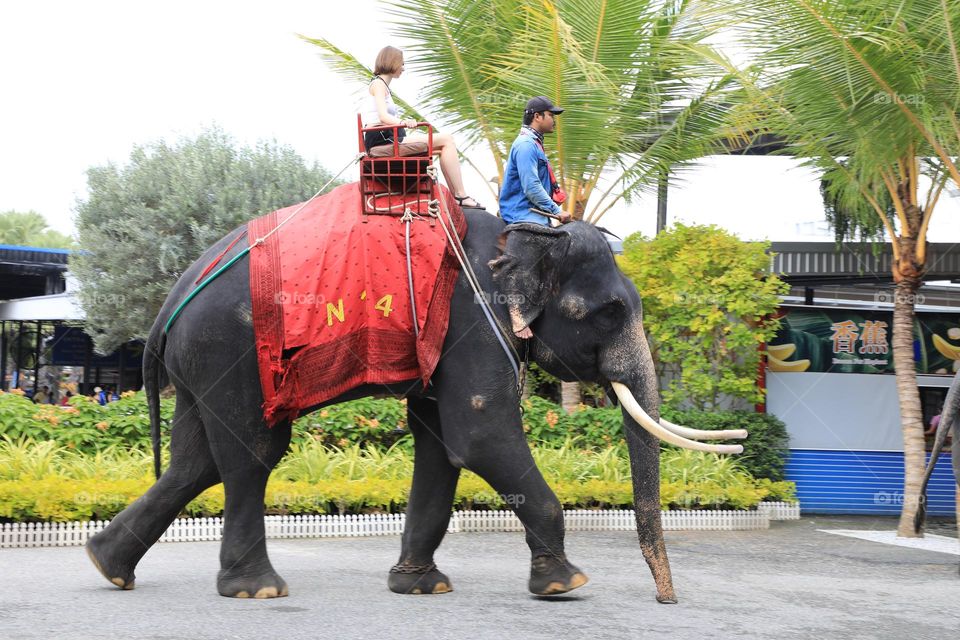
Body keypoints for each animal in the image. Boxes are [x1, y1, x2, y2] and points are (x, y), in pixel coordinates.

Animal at [85, 207, 744, 603]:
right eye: (609, 311)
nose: (666, 599)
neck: (524, 235)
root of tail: (170, 303)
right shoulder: (474, 320)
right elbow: (481, 432)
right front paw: (564, 585)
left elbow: (440, 442)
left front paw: (420, 588)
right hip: (231, 348)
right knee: (252, 453)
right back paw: (259, 590)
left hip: (202, 363)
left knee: (193, 463)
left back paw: (106, 565)